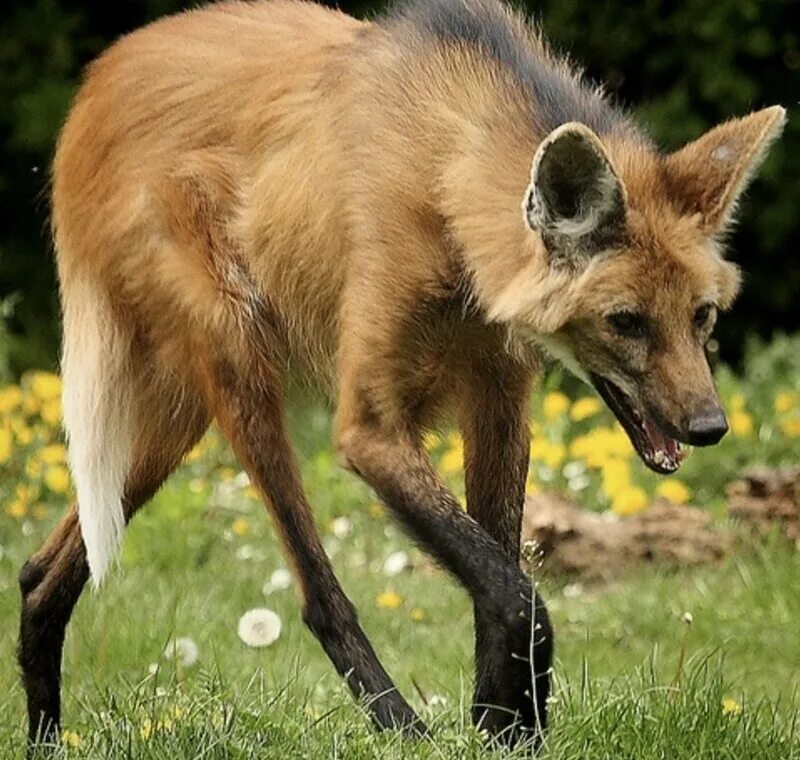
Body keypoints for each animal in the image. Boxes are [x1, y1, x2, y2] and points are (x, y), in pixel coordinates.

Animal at [17, 0, 780, 748]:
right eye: (627, 322)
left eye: (702, 316)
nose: (710, 427)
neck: (446, 183)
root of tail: (91, 95)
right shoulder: (371, 429)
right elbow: (516, 594)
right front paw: (504, 727)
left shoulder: (498, 395)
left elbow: (498, 576)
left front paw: (503, 729)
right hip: (237, 357)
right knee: (317, 594)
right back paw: (402, 727)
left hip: (179, 414)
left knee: (39, 571)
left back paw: (45, 734)